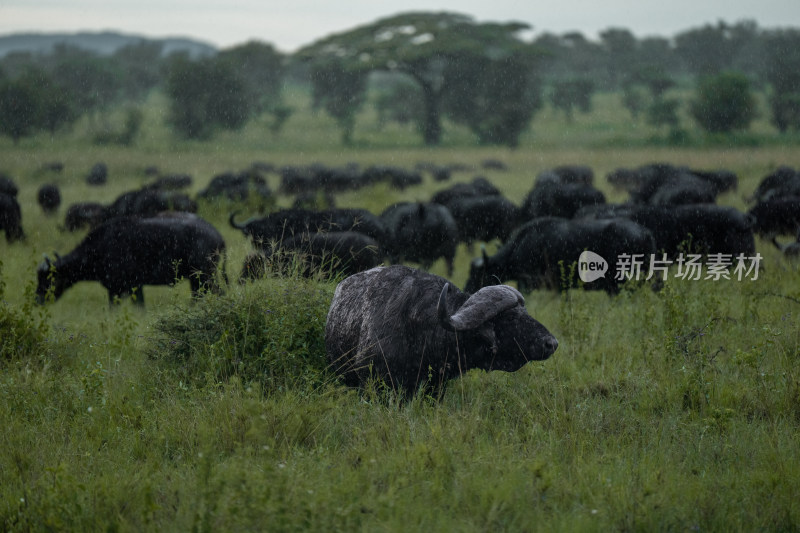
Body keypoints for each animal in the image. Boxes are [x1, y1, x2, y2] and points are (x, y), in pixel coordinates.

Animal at [35, 211, 225, 304]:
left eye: (48, 279)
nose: (37, 300)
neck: (100, 248)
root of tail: (217, 235)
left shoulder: (121, 288)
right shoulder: (131, 287)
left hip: (204, 277)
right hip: (198, 279)